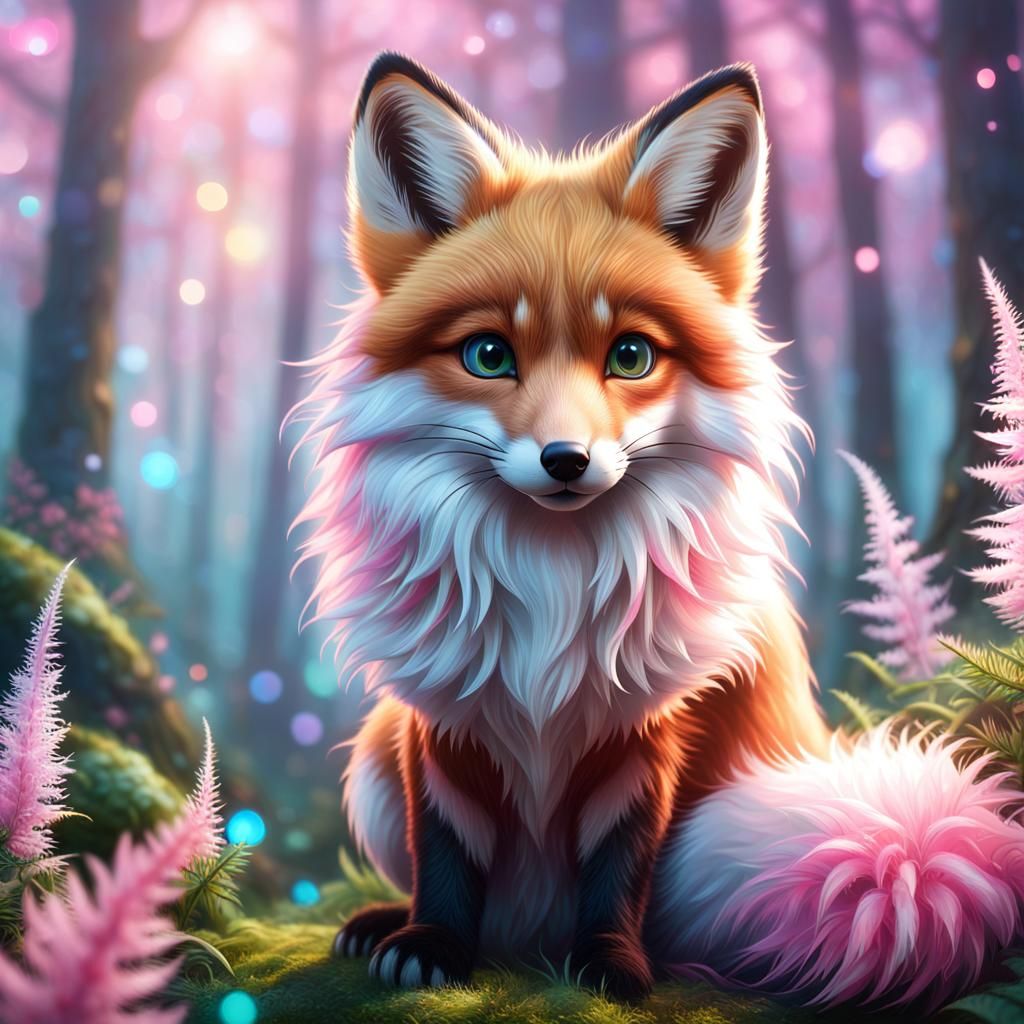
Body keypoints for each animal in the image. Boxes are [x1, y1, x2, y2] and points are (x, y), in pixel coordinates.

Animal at [291, 52, 1024, 1008]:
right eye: (489, 355)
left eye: (631, 356)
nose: (566, 460)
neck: (550, 592)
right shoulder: (442, 718)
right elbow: (444, 853)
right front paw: (432, 947)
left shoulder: (652, 728)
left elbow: (619, 866)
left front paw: (610, 966)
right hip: (374, 764)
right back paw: (385, 921)